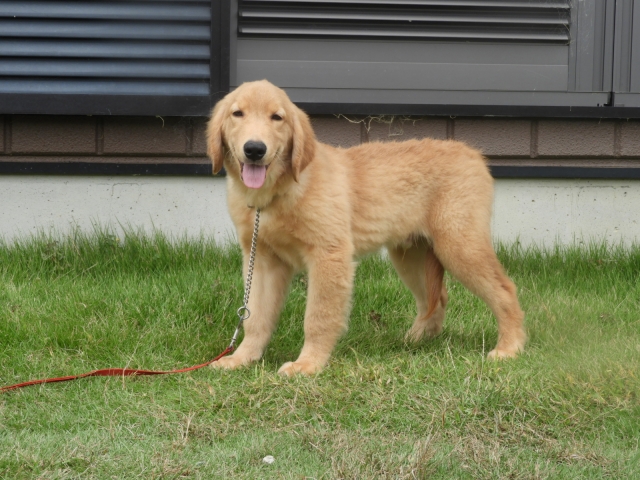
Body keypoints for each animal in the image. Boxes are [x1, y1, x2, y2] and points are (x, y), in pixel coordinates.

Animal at [206, 80, 526, 376]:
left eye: (277, 117)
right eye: (237, 113)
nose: (254, 149)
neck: (277, 194)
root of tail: (472, 153)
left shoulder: (329, 255)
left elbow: (318, 317)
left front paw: (308, 364)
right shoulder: (263, 261)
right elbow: (255, 315)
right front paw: (242, 358)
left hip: (459, 244)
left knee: (505, 288)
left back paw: (509, 347)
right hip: (411, 255)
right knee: (437, 298)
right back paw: (416, 340)